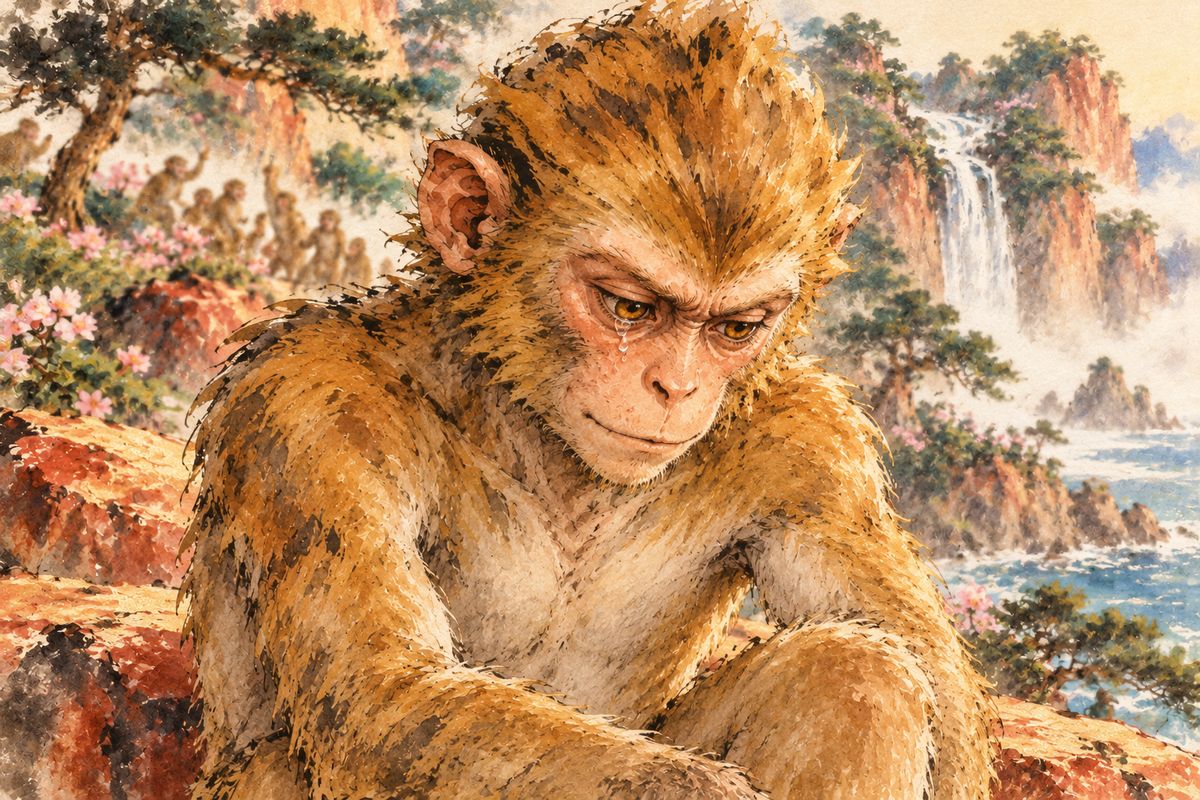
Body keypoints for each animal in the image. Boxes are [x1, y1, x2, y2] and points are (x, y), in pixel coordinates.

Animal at [184, 4, 996, 799]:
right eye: (630, 308)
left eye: (735, 329)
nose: (676, 387)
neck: (534, 431)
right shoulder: (309, 401)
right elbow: (381, 695)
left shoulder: (811, 443)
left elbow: (943, 711)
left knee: (854, 671)